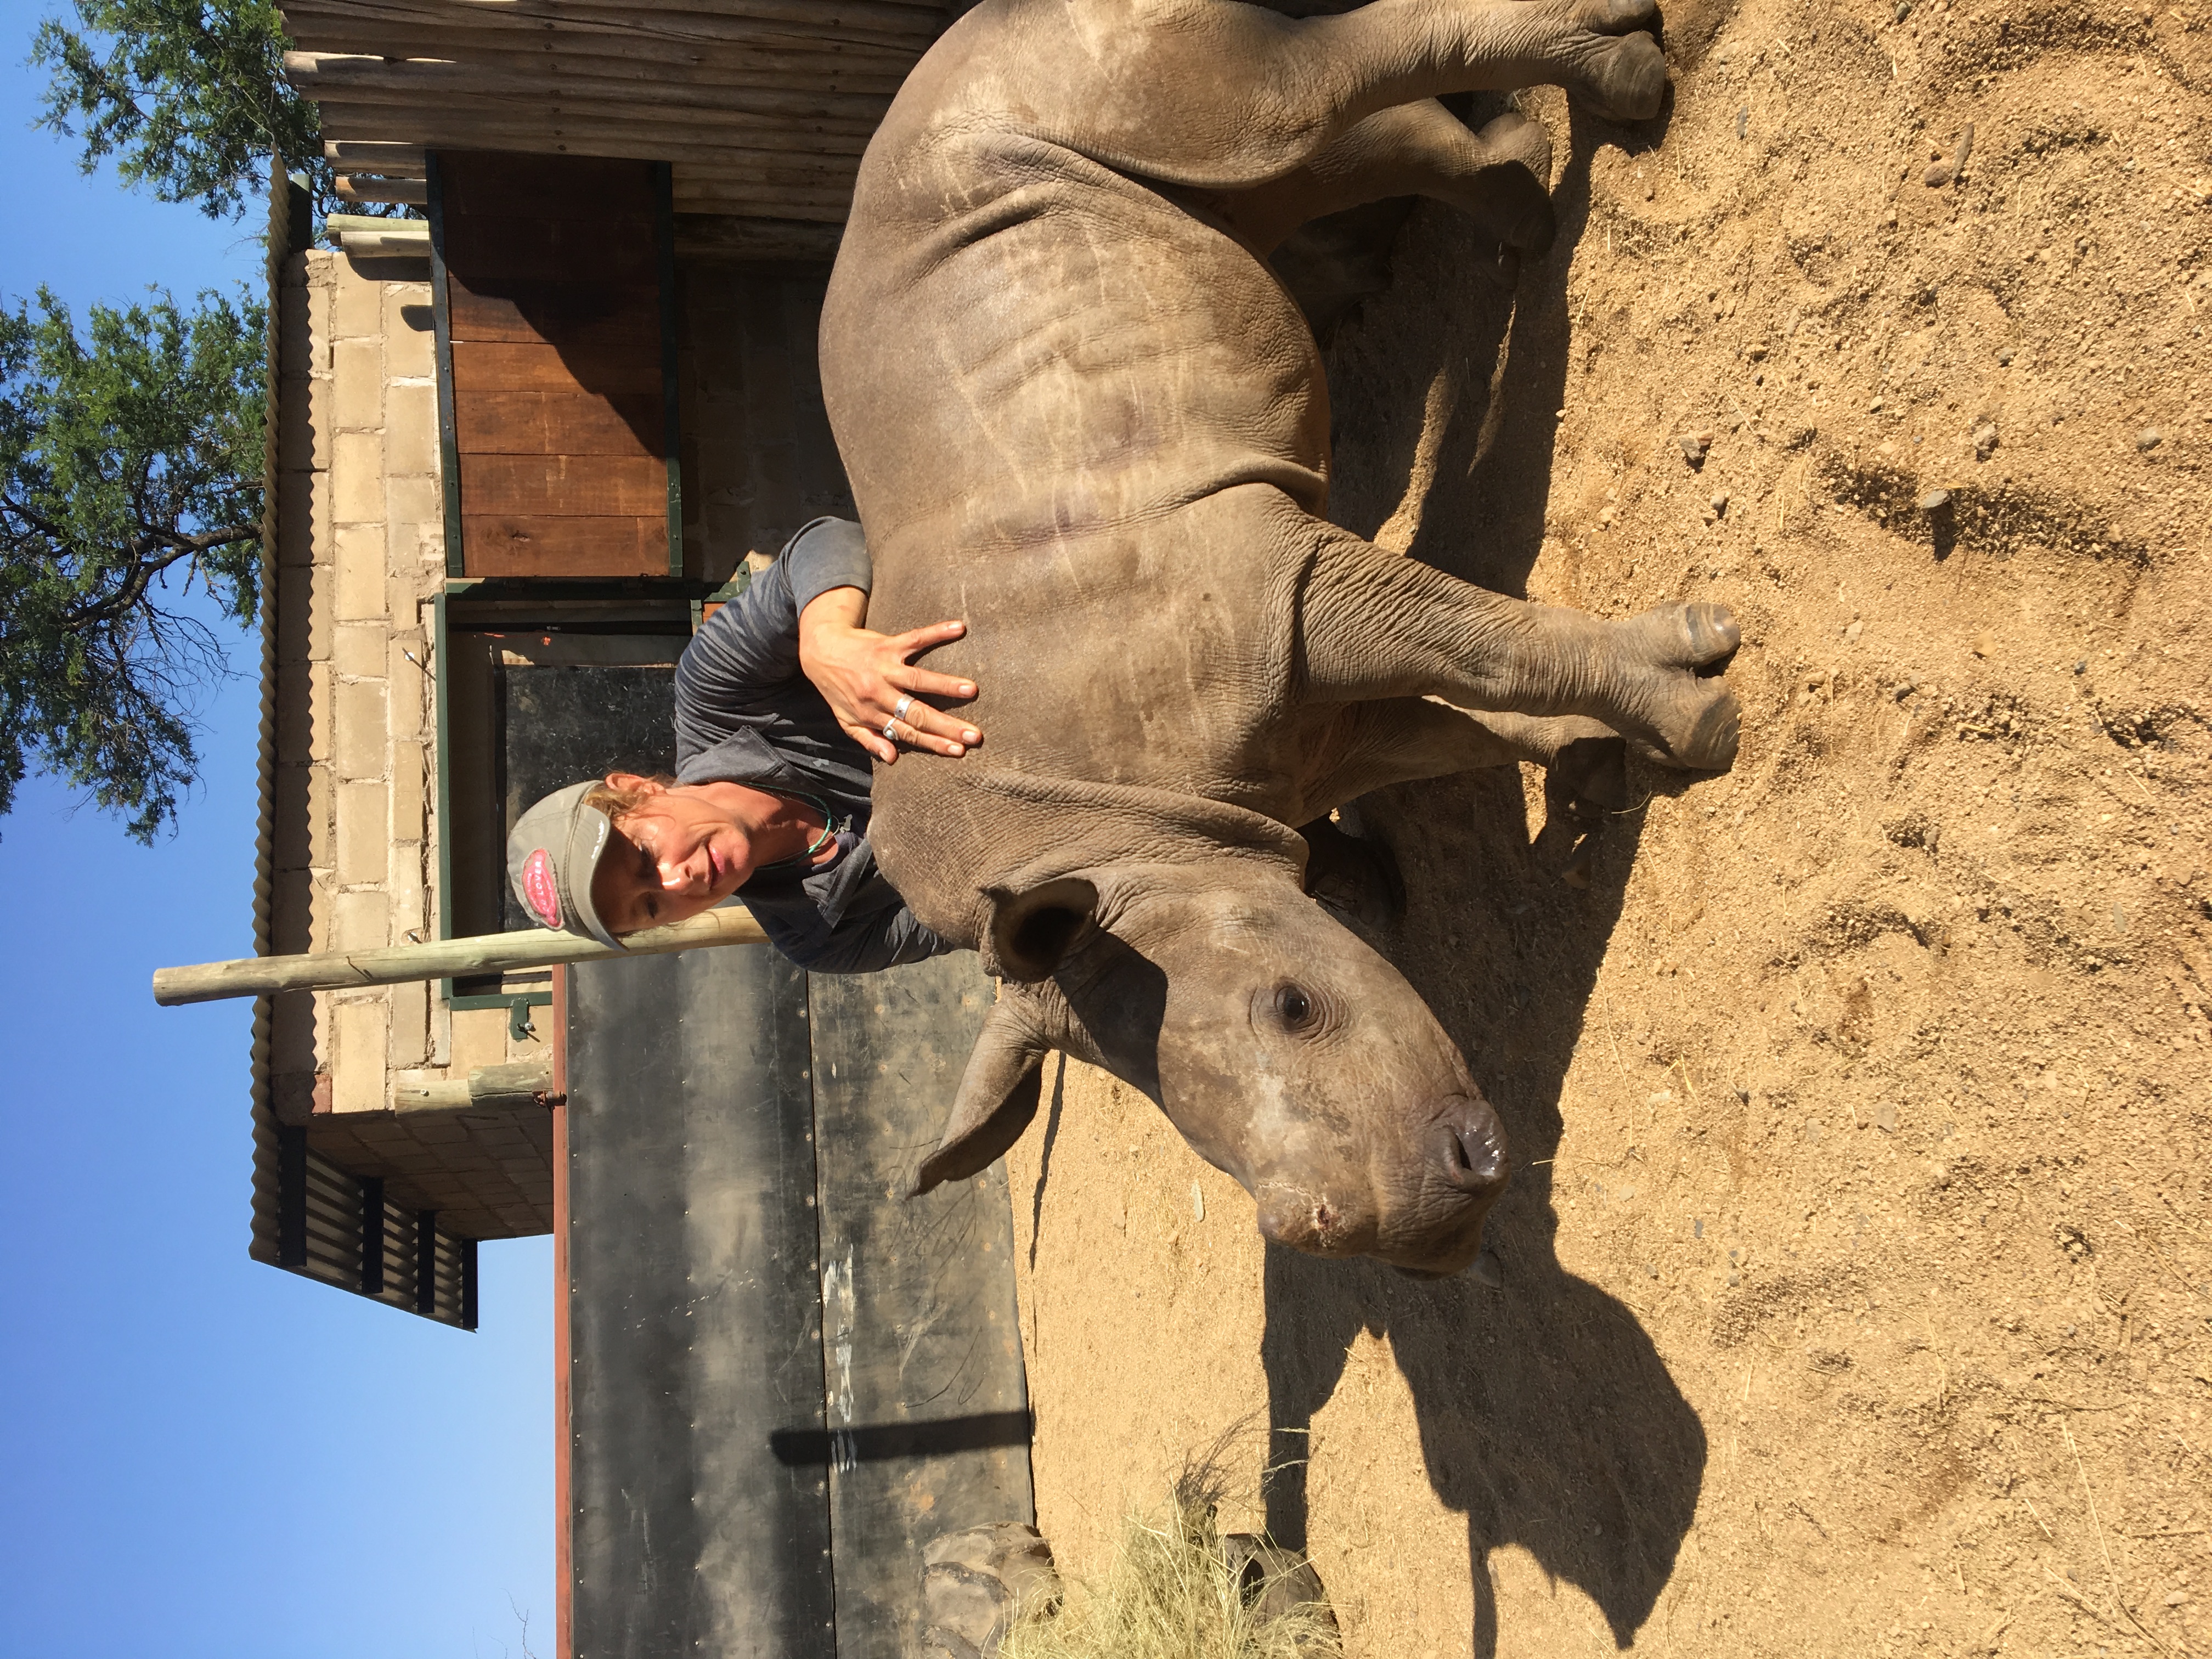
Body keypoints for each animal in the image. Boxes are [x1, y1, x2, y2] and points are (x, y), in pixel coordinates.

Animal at [819, 0, 1739, 1274]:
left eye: (1295, 1009)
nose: (1421, 1231)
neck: (1115, 840)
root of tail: (955, 33)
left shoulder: (1271, 586)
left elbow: (1468, 638)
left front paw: (1698, 715)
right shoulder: (1274, 748)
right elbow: (1451, 716)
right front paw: (1598, 767)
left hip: (1064, 59)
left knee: (1283, 105)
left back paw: (1629, 92)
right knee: (1281, 174)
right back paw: (1535, 202)